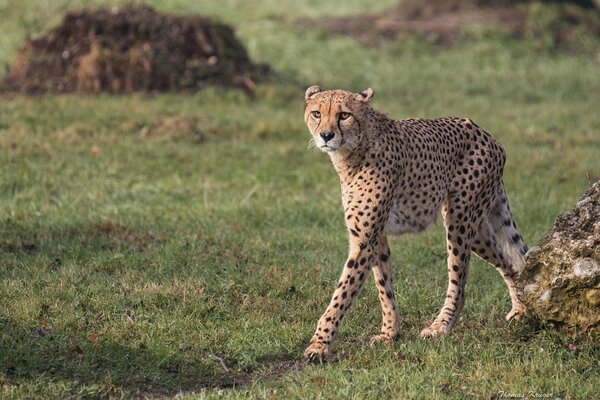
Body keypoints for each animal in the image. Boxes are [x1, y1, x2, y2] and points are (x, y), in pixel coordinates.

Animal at [302, 85, 528, 362]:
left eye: (344, 115)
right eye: (316, 113)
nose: (326, 135)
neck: (354, 150)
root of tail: (484, 133)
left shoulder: (365, 241)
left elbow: (342, 293)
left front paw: (320, 344)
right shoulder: (376, 237)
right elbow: (383, 286)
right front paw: (390, 332)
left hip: (459, 221)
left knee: (459, 280)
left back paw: (441, 327)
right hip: (477, 230)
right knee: (509, 261)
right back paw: (521, 308)